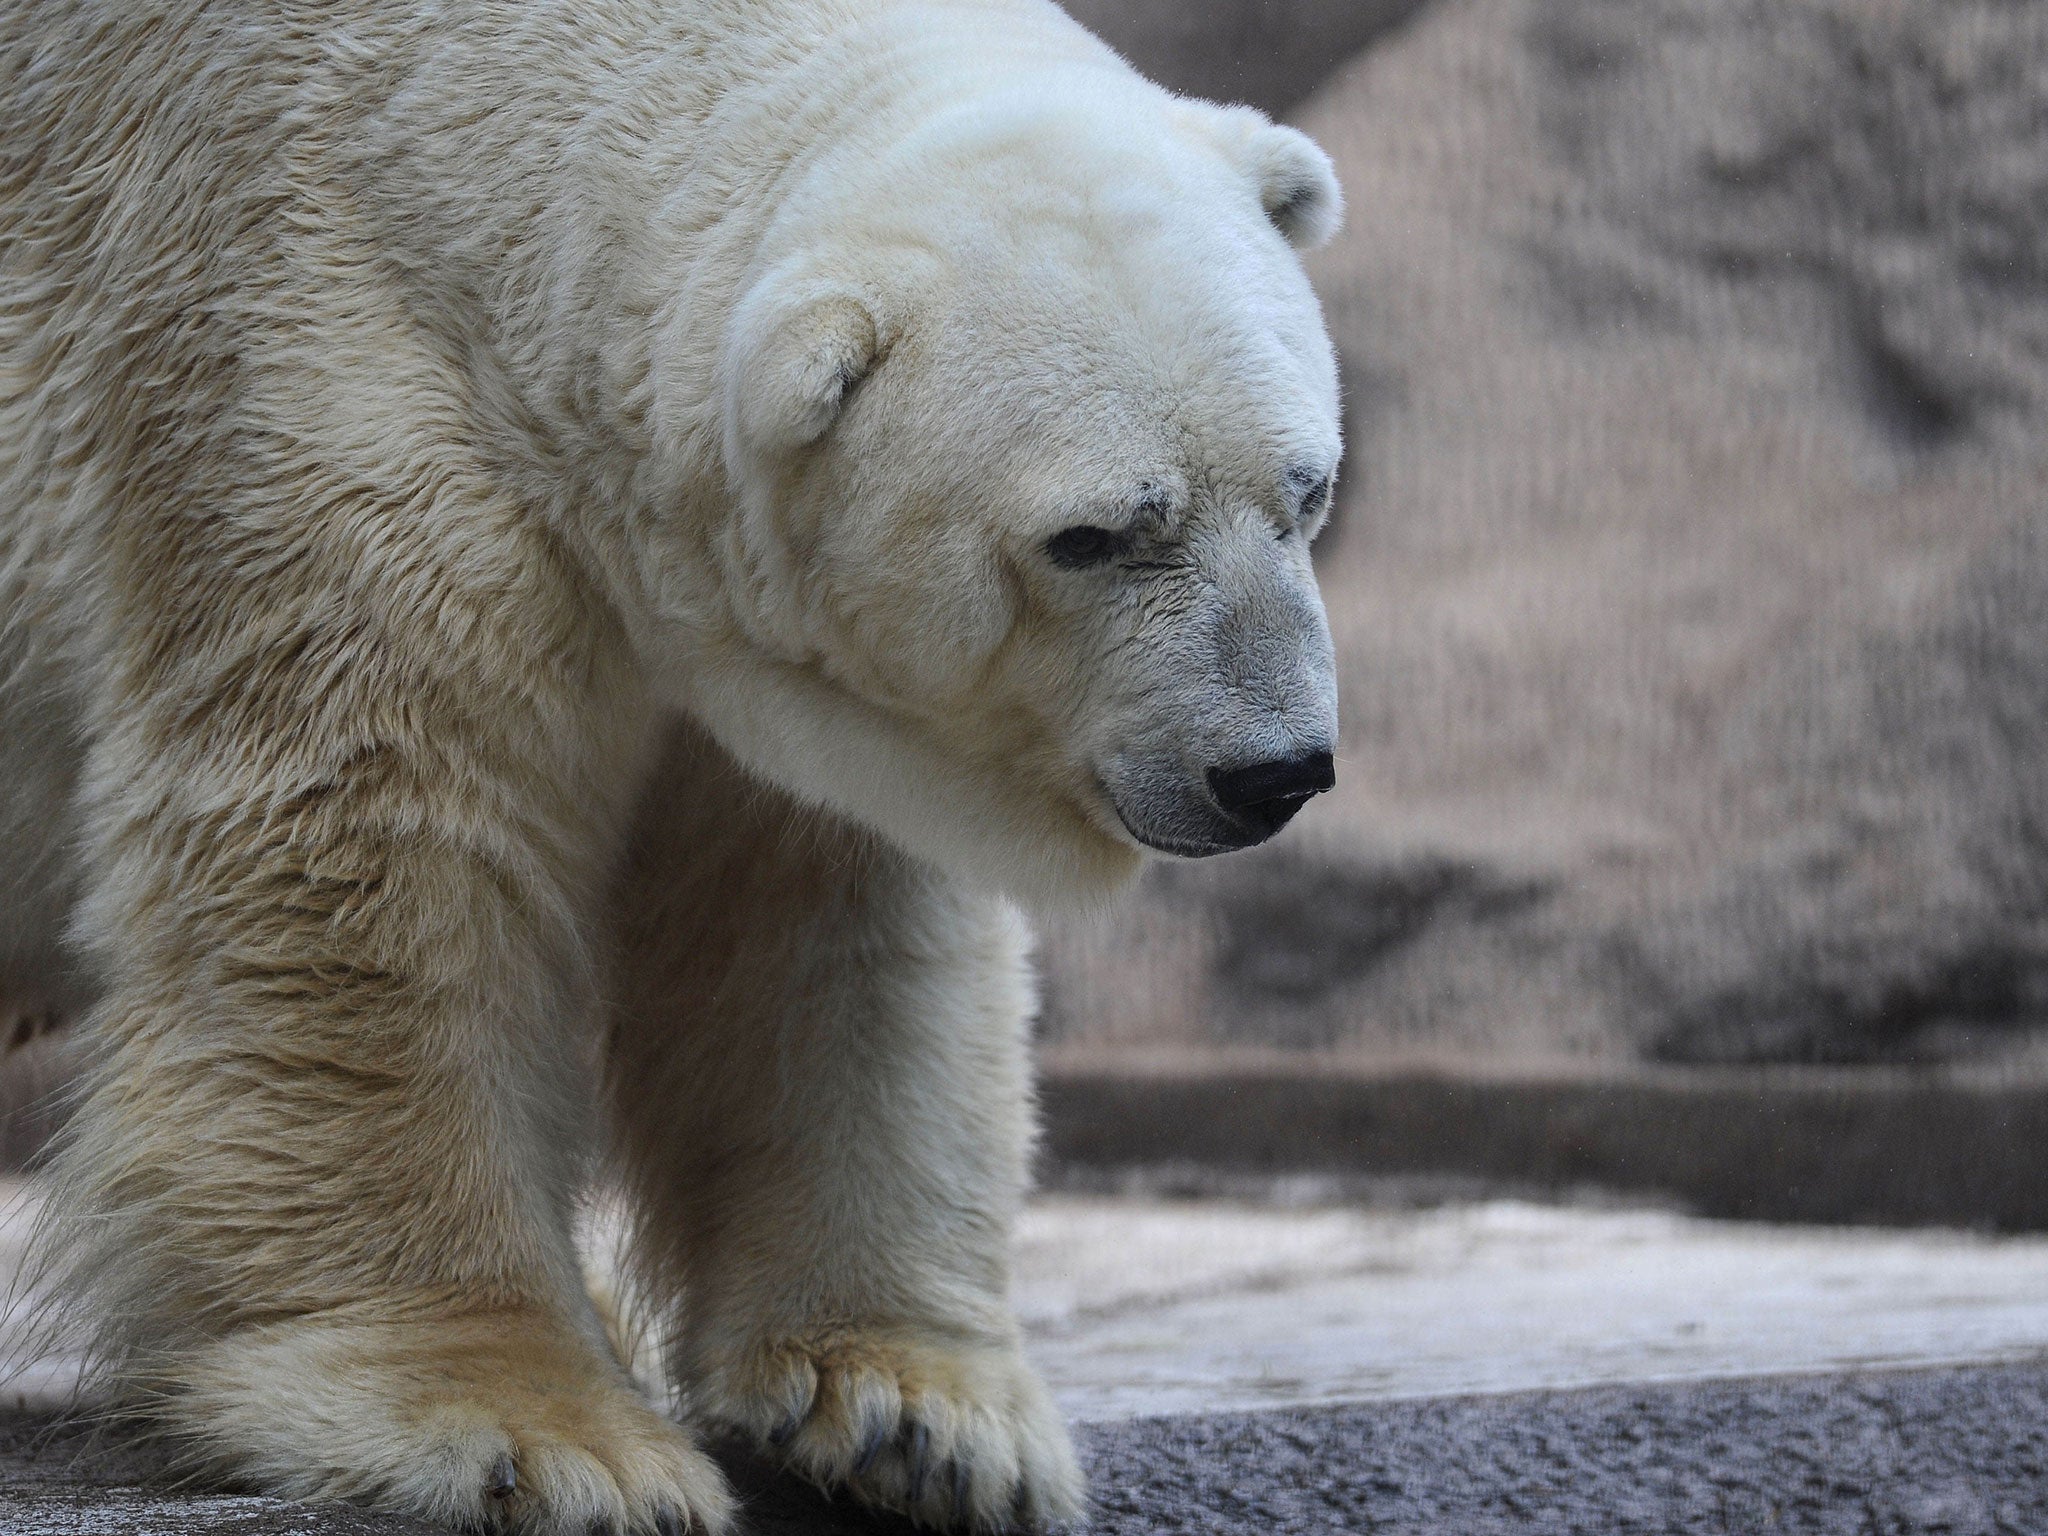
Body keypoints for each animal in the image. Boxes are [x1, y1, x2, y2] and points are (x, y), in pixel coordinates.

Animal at [4, 0, 1343, 1531]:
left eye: (1305, 490)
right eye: (1092, 535)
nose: (1273, 770)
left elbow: (820, 920)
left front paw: (915, 1413)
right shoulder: (307, 376)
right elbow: (373, 856)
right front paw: (534, 1431)